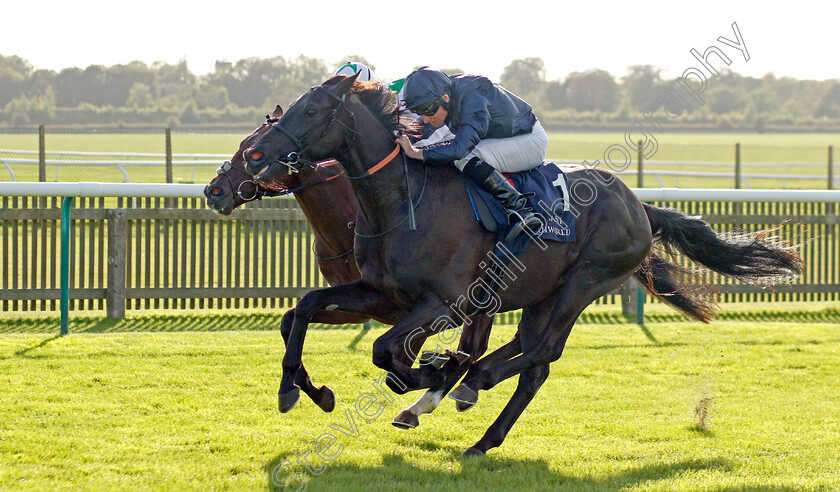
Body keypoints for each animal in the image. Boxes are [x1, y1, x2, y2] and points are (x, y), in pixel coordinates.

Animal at [203, 110, 492, 426]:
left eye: (252, 146)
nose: (213, 190)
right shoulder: (362, 304)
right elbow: (291, 320)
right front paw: (315, 392)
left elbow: (399, 366)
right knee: (475, 345)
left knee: (473, 346)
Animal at [244, 75, 808, 456]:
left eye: (312, 111)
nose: (254, 156)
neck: (403, 199)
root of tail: (638, 206)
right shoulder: (382, 292)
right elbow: (305, 307)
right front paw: (302, 391)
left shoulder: (445, 301)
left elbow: (388, 352)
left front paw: (424, 374)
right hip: (543, 291)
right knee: (528, 354)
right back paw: (471, 415)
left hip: (584, 283)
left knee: (541, 354)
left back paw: (470, 385)